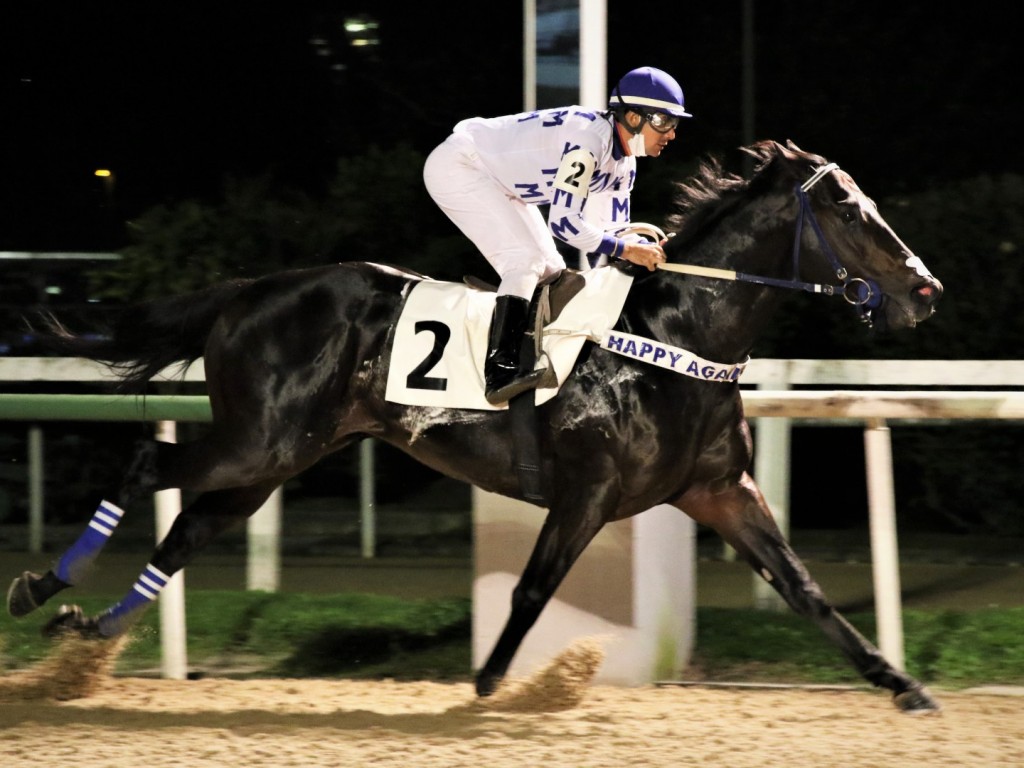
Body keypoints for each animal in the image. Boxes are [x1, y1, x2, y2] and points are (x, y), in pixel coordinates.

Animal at [6, 141, 942, 712]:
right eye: (852, 213)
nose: (925, 290)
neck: (671, 338)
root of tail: (247, 291)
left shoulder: (718, 490)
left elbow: (804, 588)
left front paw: (902, 685)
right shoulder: (587, 491)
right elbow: (531, 590)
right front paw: (494, 683)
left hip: (280, 455)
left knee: (189, 527)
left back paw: (88, 637)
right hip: (259, 441)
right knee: (143, 465)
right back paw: (43, 589)